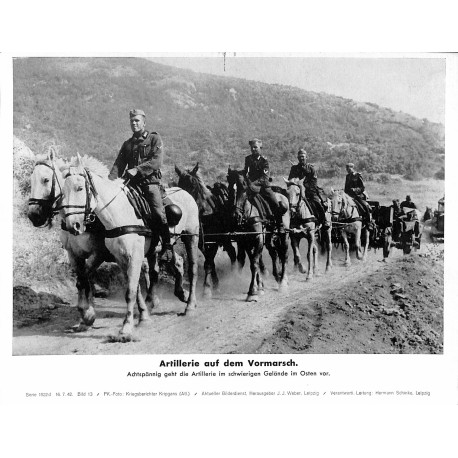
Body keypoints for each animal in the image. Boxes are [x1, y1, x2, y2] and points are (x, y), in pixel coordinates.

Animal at [60, 156, 199, 342]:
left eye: (80, 188)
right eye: (62, 191)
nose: (72, 225)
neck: (118, 214)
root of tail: (184, 192)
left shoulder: (133, 256)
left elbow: (131, 291)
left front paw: (126, 328)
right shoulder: (121, 258)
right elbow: (134, 288)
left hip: (191, 236)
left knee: (192, 269)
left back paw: (190, 306)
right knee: (172, 264)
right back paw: (175, 295)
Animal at [175, 163, 238, 298]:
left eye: (193, 184)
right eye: (179, 185)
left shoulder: (213, 241)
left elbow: (208, 263)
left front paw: (206, 289)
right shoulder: (201, 243)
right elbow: (210, 262)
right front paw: (215, 285)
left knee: (232, 253)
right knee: (231, 252)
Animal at [228, 167, 290, 300]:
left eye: (244, 188)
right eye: (230, 187)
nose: (236, 216)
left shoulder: (258, 239)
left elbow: (255, 263)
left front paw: (253, 291)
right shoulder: (246, 241)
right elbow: (253, 261)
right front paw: (259, 286)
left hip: (284, 235)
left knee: (284, 254)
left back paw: (283, 282)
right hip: (269, 238)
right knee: (274, 253)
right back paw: (277, 276)